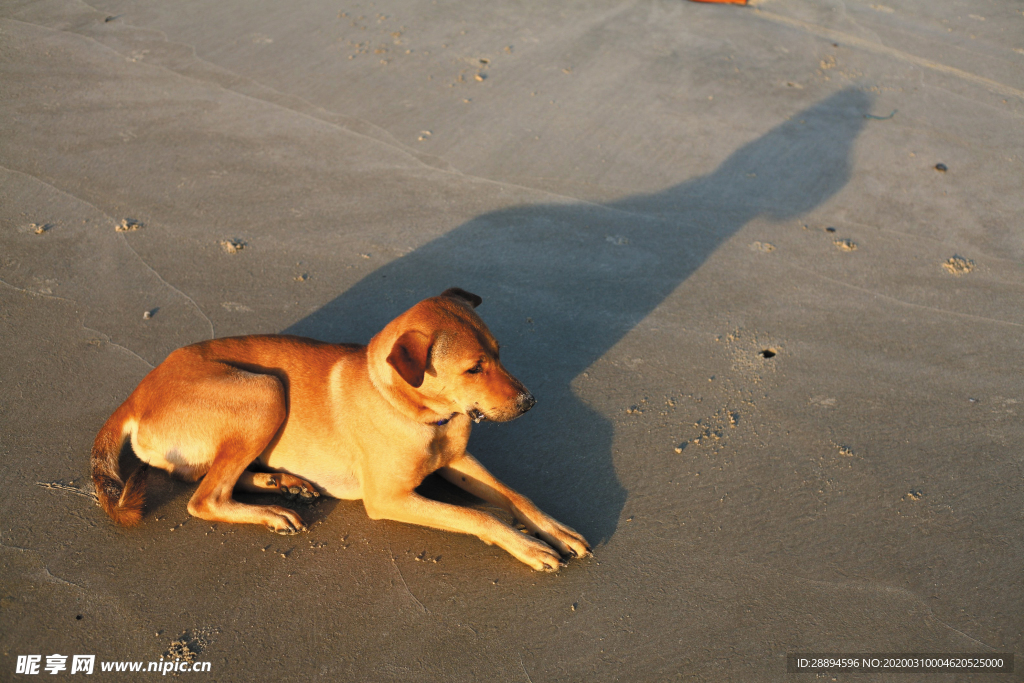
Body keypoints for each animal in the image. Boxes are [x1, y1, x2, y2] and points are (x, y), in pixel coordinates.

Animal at [96, 288, 593, 573]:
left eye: (499, 353)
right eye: (474, 368)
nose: (530, 402)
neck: (417, 413)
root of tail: (137, 395)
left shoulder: (458, 461)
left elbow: (515, 497)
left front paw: (556, 530)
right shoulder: (389, 498)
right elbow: (479, 516)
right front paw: (525, 545)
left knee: (209, 477)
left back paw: (284, 482)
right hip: (266, 392)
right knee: (204, 497)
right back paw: (272, 510)